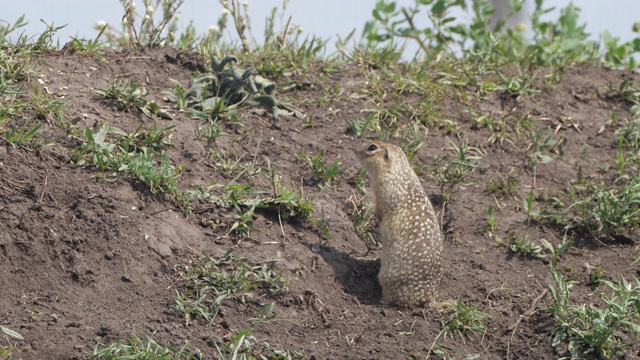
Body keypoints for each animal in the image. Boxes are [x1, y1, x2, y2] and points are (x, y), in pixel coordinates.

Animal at [356, 140, 444, 306]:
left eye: (372, 147)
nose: (355, 150)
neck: (399, 168)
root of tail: (429, 298)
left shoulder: (385, 189)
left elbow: (380, 210)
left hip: (388, 279)